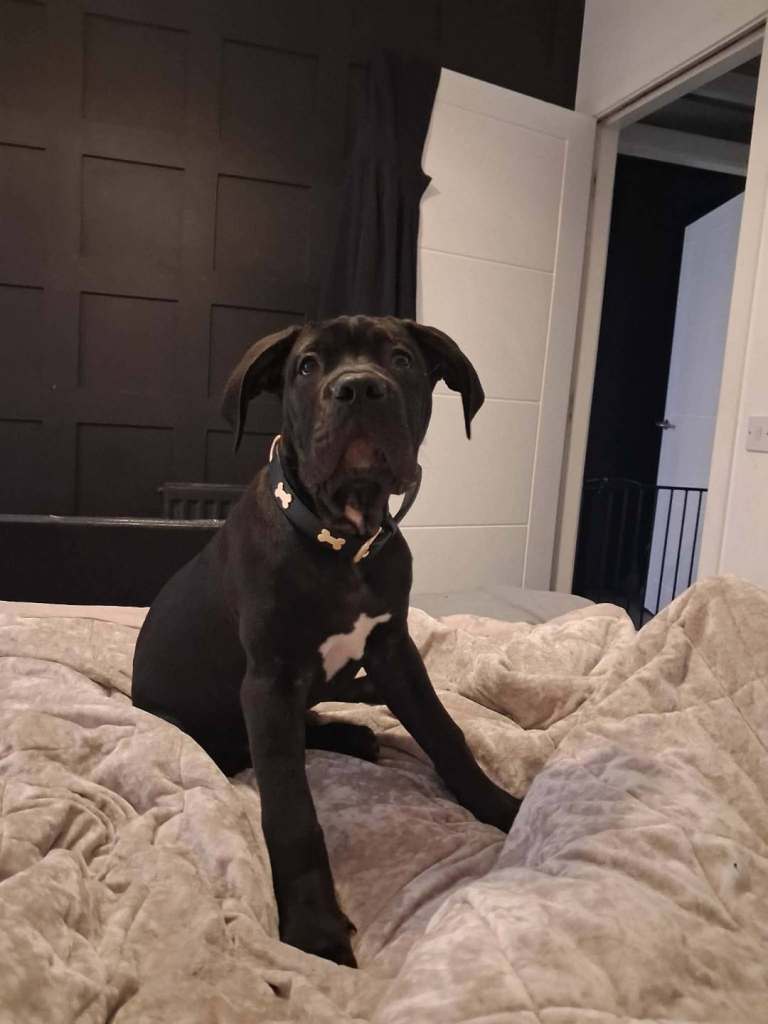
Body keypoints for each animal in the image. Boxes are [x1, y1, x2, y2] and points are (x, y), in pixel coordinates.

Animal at [132, 315, 521, 967]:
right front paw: (314, 927)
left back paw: (354, 734)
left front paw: (500, 806)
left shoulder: (394, 652)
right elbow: (291, 806)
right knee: (256, 749)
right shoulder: (269, 682)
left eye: (401, 359)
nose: (360, 388)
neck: (343, 542)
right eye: (308, 367)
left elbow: (446, 733)